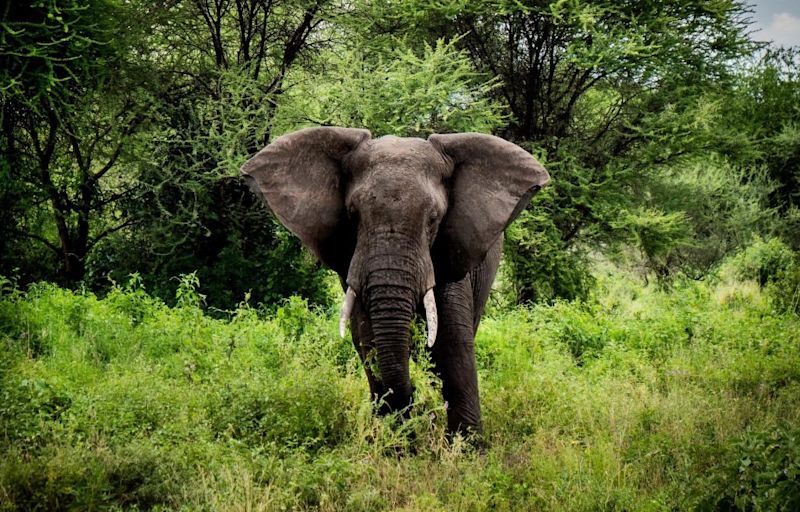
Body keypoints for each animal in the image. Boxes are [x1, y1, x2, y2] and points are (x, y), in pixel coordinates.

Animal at [239, 128, 552, 436]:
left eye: (433, 218)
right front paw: (396, 440)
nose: (414, 400)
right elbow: (368, 339)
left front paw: (468, 445)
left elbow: (451, 342)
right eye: (352, 215)